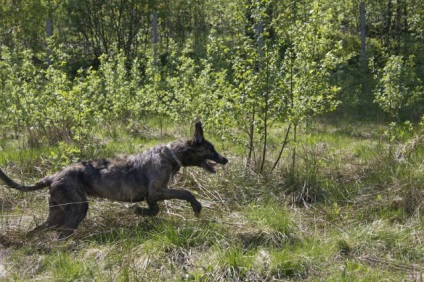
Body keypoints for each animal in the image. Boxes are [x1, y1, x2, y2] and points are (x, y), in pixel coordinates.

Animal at [0, 121, 229, 238]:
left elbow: (154, 209)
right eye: (211, 149)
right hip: (77, 207)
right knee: (62, 233)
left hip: (58, 212)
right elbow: (185, 192)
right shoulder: (157, 190)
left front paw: (140, 211)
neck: (171, 154)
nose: (225, 159)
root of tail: (53, 176)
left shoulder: (152, 195)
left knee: (38, 229)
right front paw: (197, 206)